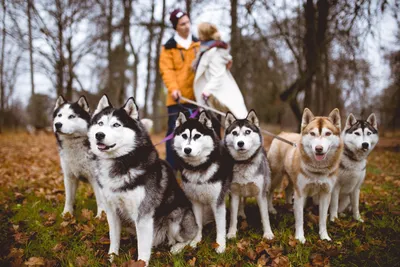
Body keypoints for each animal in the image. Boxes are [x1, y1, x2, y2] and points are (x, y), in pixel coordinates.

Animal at [89, 96, 198, 264]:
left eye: (116, 124)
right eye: (100, 123)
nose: (99, 135)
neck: (121, 161)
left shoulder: (143, 215)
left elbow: (143, 248)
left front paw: (141, 262)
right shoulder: (111, 211)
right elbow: (114, 238)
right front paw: (112, 257)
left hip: (176, 218)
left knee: (191, 237)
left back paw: (179, 247)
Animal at [171, 112, 231, 254]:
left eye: (197, 135)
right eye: (184, 135)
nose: (187, 150)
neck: (198, 168)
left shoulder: (217, 201)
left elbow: (220, 226)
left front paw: (220, 245)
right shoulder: (195, 201)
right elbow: (197, 224)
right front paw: (195, 241)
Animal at [222, 111, 276, 241]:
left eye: (247, 132)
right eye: (234, 133)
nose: (240, 143)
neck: (244, 163)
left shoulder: (260, 194)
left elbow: (265, 216)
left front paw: (268, 233)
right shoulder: (234, 193)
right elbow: (232, 217)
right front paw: (231, 233)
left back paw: (271, 208)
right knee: (243, 200)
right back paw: (241, 213)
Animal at [268, 108, 342, 244]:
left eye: (328, 133)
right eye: (312, 133)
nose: (319, 148)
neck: (318, 169)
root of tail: (282, 133)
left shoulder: (325, 194)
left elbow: (322, 219)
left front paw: (324, 236)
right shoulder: (301, 193)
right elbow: (300, 219)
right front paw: (300, 237)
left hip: (292, 179)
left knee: (288, 190)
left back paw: (289, 206)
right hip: (276, 176)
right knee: (269, 192)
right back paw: (271, 209)